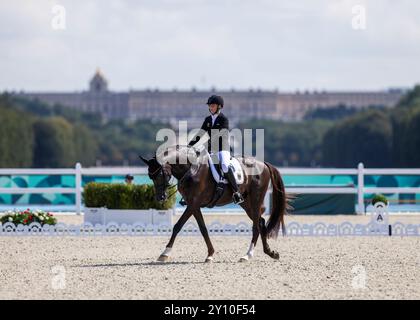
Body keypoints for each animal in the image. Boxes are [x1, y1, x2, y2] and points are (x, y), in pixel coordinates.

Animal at [139, 145, 290, 262]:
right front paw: (210, 254)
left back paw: (247, 255)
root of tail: (263, 164)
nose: (160, 198)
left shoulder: (193, 204)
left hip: (255, 200)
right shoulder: (194, 205)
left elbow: (178, 226)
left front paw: (165, 253)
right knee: (261, 222)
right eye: (150, 177)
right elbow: (202, 229)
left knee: (256, 226)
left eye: (160, 175)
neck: (191, 169)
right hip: (246, 203)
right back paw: (270, 253)